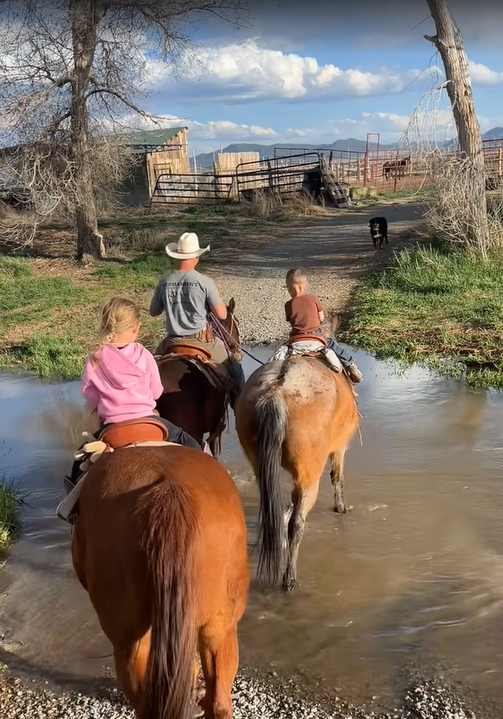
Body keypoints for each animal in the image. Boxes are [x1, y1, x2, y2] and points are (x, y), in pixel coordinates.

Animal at [235, 352, 358, 592]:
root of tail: (276, 392)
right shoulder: (340, 447)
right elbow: (337, 477)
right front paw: (341, 508)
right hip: (309, 472)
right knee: (297, 522)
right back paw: (289, 578)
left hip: (259, 463)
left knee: (269, 512)